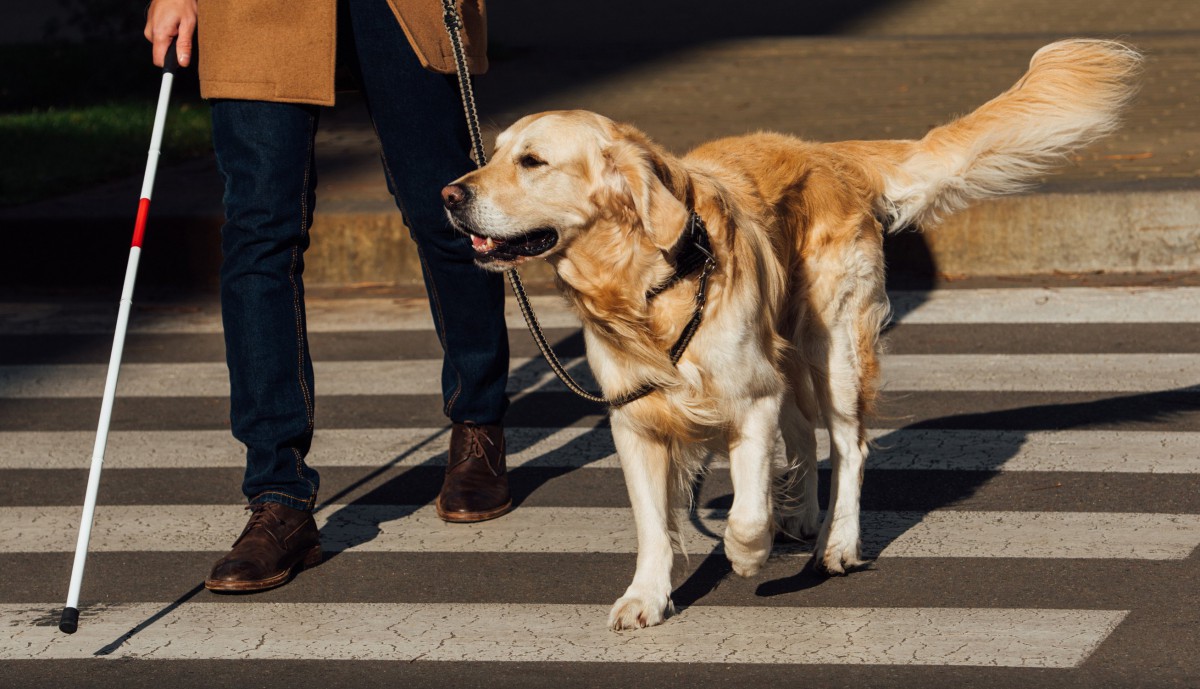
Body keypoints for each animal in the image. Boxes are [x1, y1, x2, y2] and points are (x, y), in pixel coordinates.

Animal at [444, 39, 1142, 633]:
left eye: (532, 162)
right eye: (493, 154)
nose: (449, 194)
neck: (649, 284)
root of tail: (828, 153)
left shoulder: (749, 399)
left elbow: (747, 509)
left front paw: (745, 554)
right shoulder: (635, 419)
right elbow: (652, 523)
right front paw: (645, 596)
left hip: (834, 348)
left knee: (850, 446)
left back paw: (836, 544)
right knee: (806, 435)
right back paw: (803, 515)